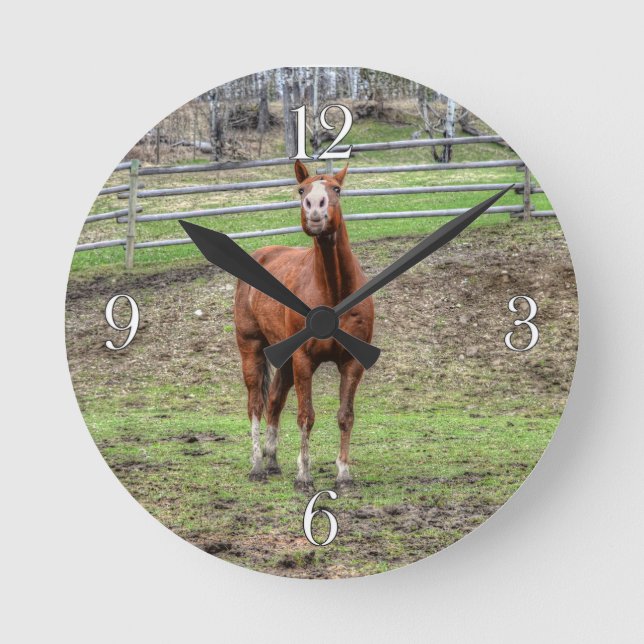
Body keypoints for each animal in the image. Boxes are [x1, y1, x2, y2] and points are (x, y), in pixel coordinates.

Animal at [233, 160, 375, 492]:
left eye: (336, 189)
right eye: (301, 190)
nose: (315, 208)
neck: (334, 292)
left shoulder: (351, 363)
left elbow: (345, 416)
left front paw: (344, 474)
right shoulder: (303, 360)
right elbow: (306, 416)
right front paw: (303, 477)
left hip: (282, 358)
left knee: (274, 401)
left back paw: (272, 462)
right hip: (251, 349)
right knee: (256, 404)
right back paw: (257, 466)